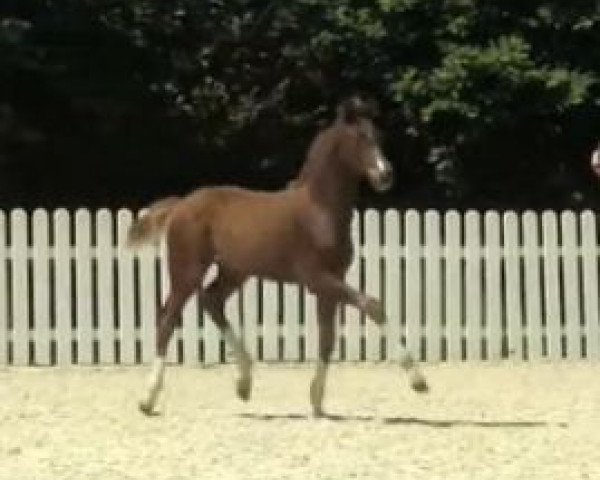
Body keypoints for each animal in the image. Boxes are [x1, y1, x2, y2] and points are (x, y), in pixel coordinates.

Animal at [131, 96, 426, 416]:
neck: (319, 212)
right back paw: (148, 398)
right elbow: (373, 305)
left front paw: (316, 401)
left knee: (211, 301)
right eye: (359, 137)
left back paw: (244, 382)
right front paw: (418, 380)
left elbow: (327, 339)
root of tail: (181, 204)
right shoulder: (316, 278)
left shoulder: (330, 283)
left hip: (234, 271)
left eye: (379, 137)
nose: (386, 175)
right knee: (168, 319)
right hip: (187, 270)